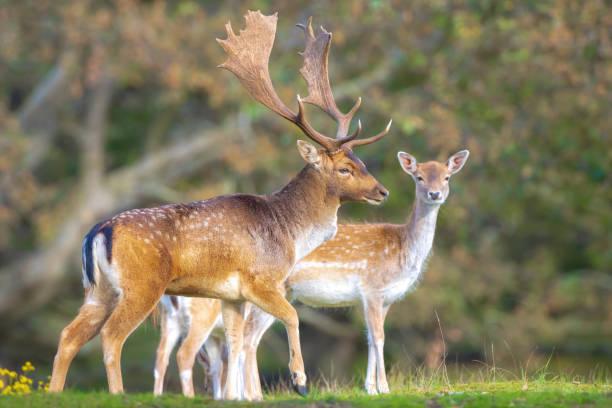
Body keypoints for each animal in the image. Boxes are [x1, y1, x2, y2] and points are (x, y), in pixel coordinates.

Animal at [49, 11, 392, 400]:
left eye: (360, 160)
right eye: (345, 168)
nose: (382, 191)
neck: (291, 232)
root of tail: (98, 231)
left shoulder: (232, 295)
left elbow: (234, 341)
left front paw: (232, 396)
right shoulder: (261, 279)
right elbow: (290, 317)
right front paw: (299, 381)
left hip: (98, 289)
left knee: (69, 335)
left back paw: (54, 392)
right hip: (142, 284)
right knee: (111, 335)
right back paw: (118, 393)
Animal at [151, 149, 470, 398]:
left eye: (447, 177)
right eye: (419, 177)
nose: (435, 194)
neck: (403, 251)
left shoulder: (386, 298)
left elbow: (370, 337)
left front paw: (371, 387)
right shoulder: (372, 288)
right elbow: (378, 337)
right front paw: (382, 388)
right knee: (238, 341)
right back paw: (252, 394)